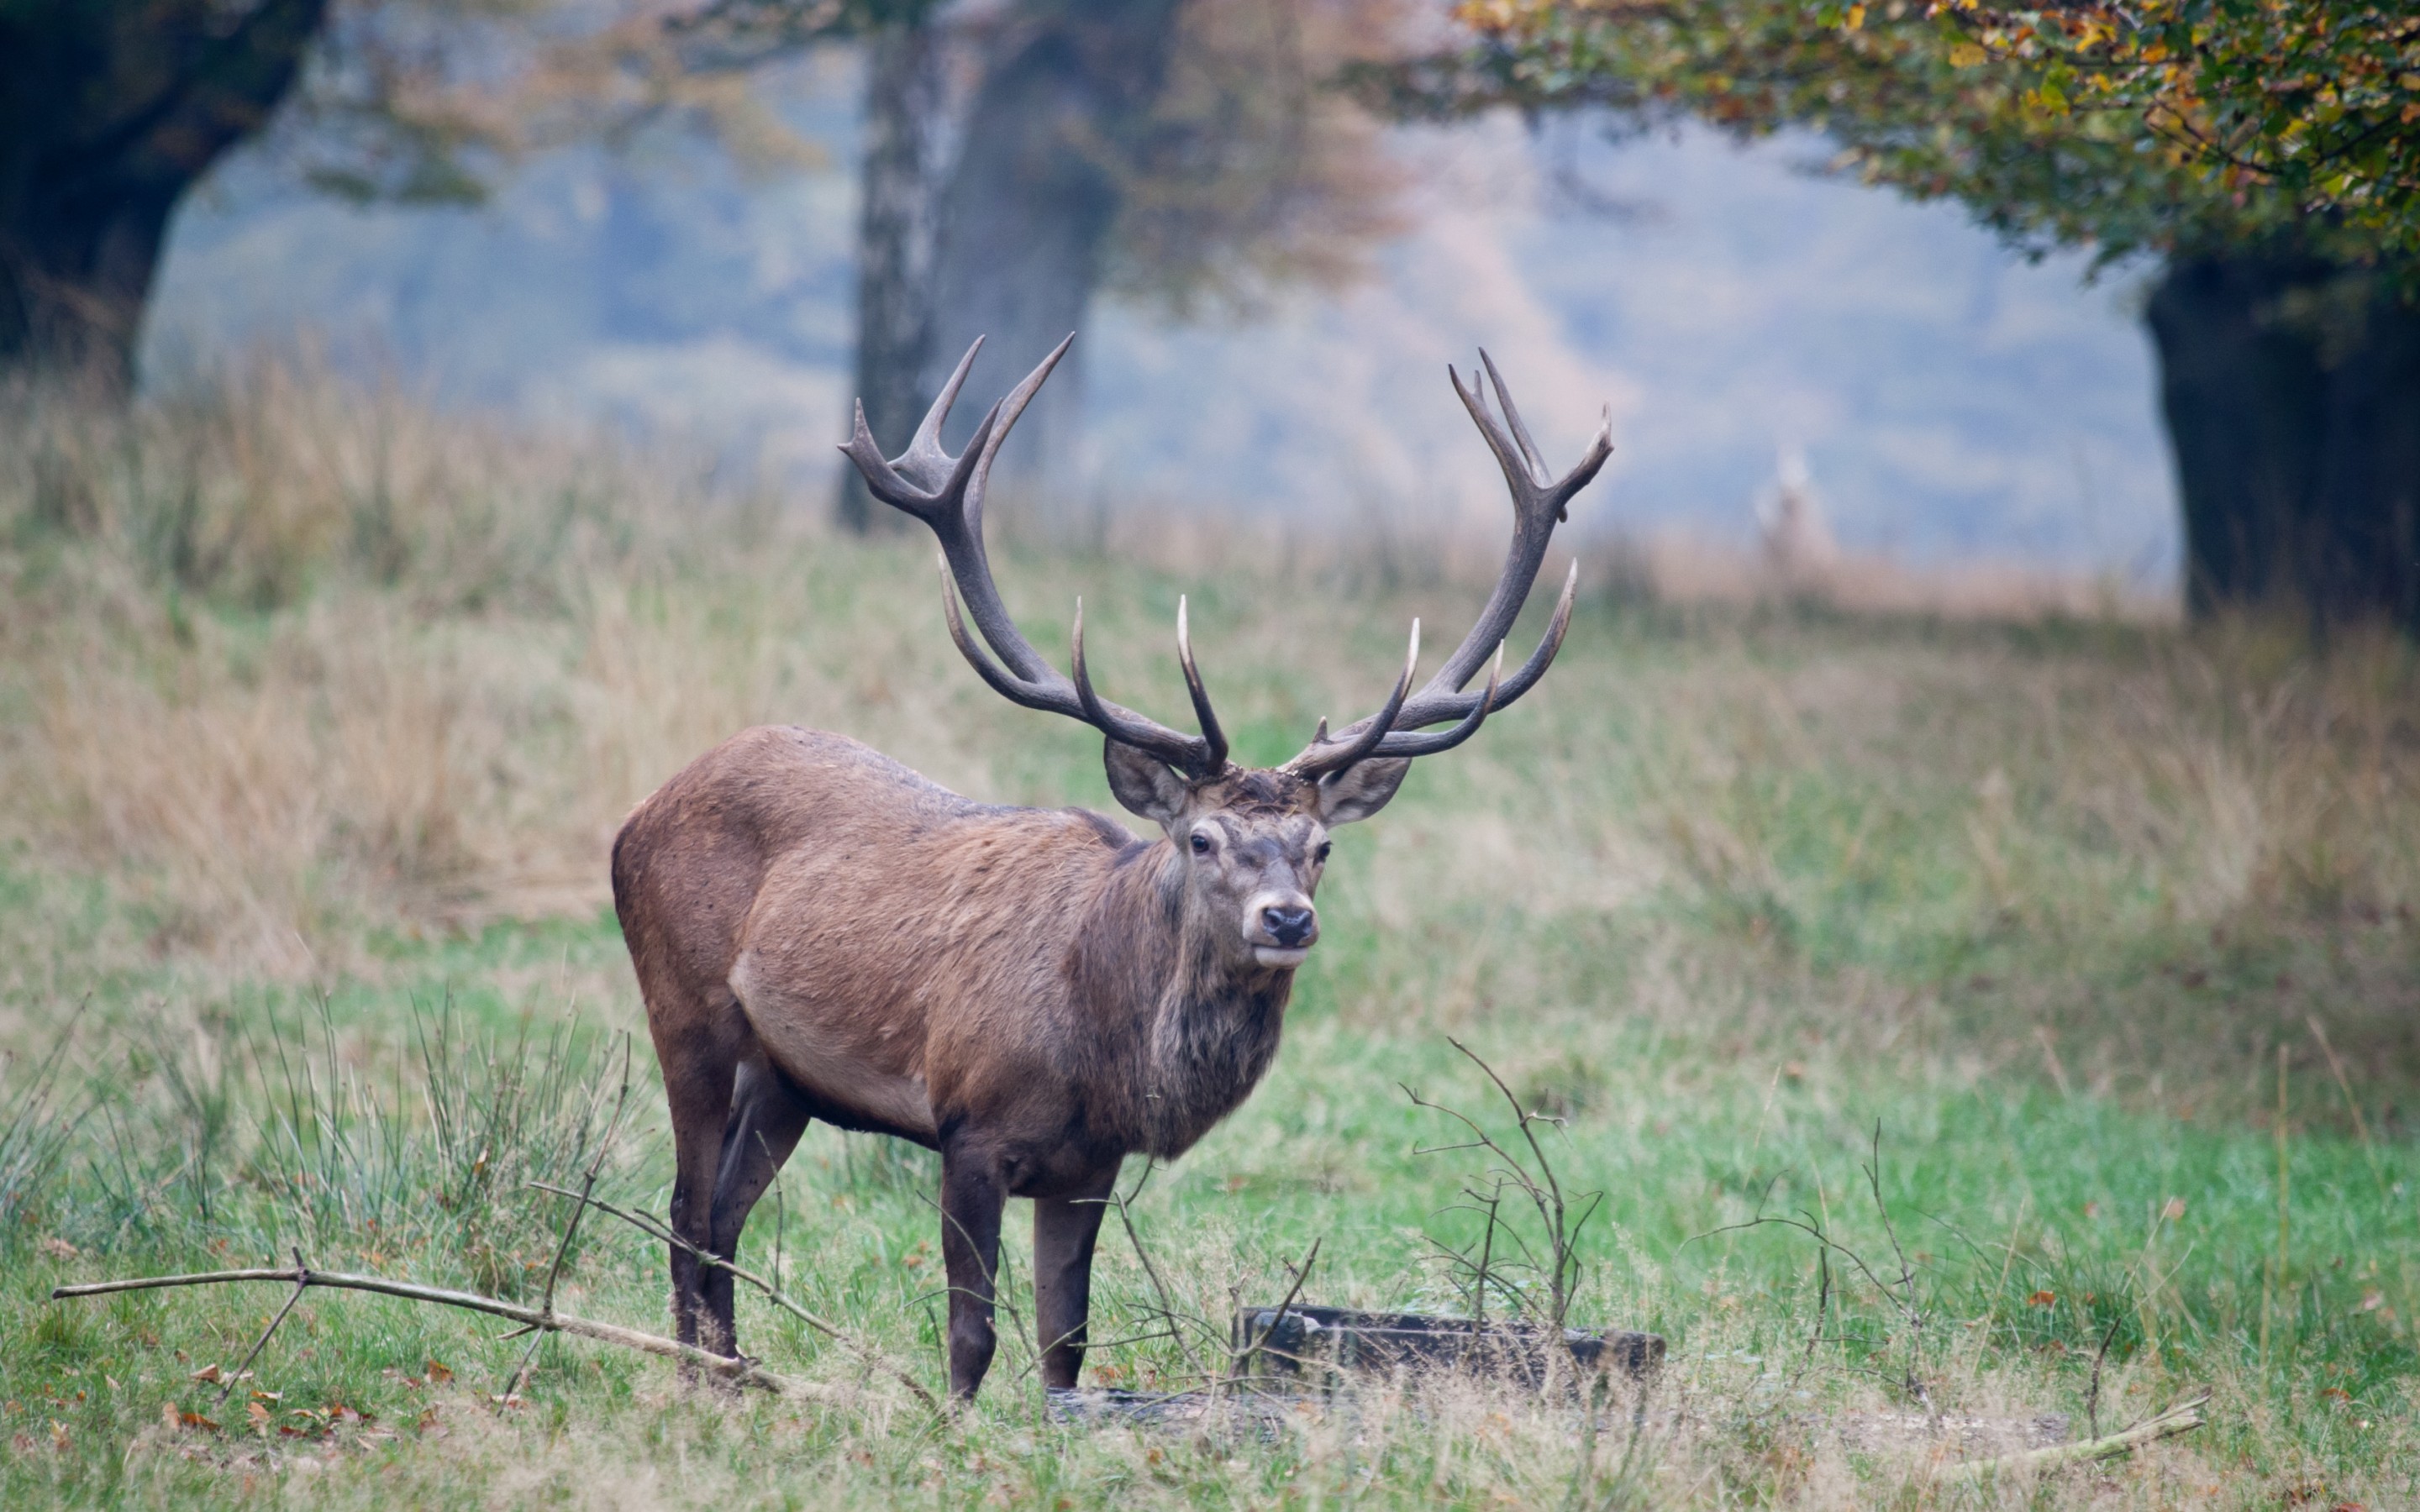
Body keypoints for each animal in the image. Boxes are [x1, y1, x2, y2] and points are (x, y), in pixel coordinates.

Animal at [609, 336, 1607, 1393]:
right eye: (1201, 839)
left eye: (1321, 847)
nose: (1286, 918)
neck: (1101, 1051)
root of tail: (636, 815)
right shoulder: (967, 1127)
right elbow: (972, 1332)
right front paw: (956, 1421)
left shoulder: (1090, 1166)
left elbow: (1066, 1339)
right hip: (686, 1008)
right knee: (685, 1210)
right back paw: (695, 1380)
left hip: (786, 1079)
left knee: (722, 1219)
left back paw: (727, 1375)